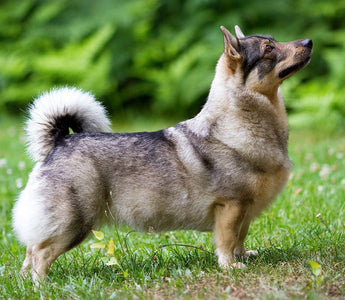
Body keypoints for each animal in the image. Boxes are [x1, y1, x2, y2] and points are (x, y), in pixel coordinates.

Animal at [12, 25, 312, 284]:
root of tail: (60, 141)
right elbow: (227, 241)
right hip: (73, 224)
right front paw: (230, 266)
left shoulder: (245, 211)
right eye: (269, 49)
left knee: (29, 253)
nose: (309, 42)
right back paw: (42, 285)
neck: (239, 120)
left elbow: (240, 237)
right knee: (39, 254)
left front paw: (243, 257)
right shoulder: (231, 207)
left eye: (274, 40)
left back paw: (26, 283)